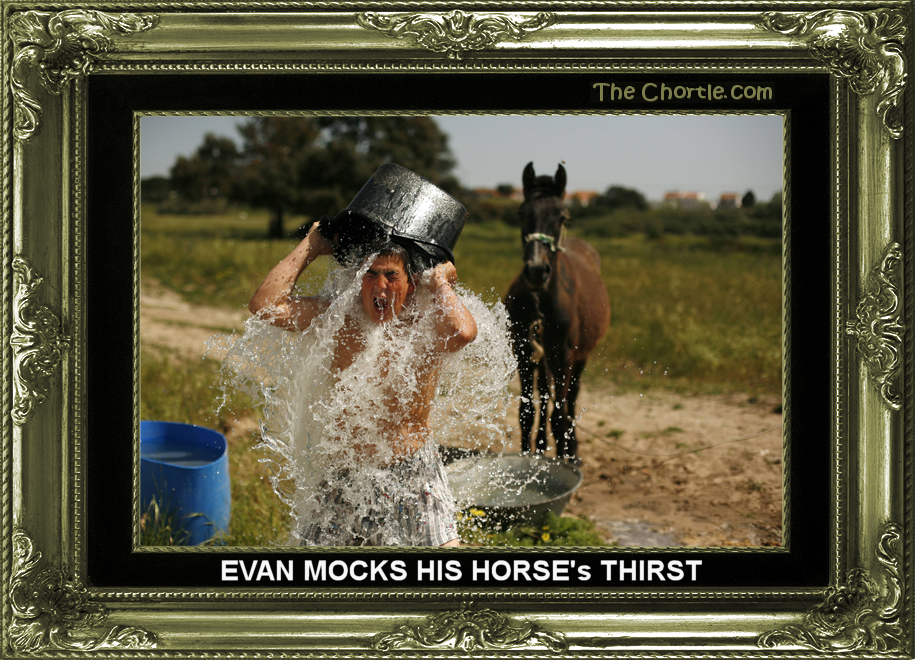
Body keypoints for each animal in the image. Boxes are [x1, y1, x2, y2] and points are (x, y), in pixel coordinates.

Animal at [504, 163, 610, 461]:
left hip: (578, 357)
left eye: (562, 216)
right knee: (544, 398)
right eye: (521, 213)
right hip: (543, 358)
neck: (540, 301)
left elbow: (560, 415)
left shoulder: (564, 356)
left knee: (570, 401)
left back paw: (571, 451)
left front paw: (565, 460)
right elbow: (527, 412)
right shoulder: (524, 352)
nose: (537, 270)